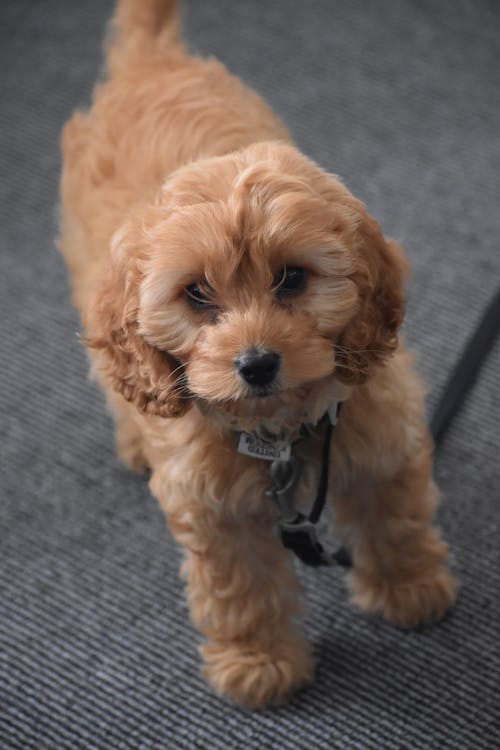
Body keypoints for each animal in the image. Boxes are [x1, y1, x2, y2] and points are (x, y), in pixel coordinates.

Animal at [59, 0, 458, 712]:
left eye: (292, 278)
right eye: (196, 293)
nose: (257, 364)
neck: (279, 429)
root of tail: (150, 60)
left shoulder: (381, 426)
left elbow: (395, 513)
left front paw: (410, 586)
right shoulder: (210, 504)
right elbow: (237, 588)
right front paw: (259, 660)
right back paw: (133, 437)